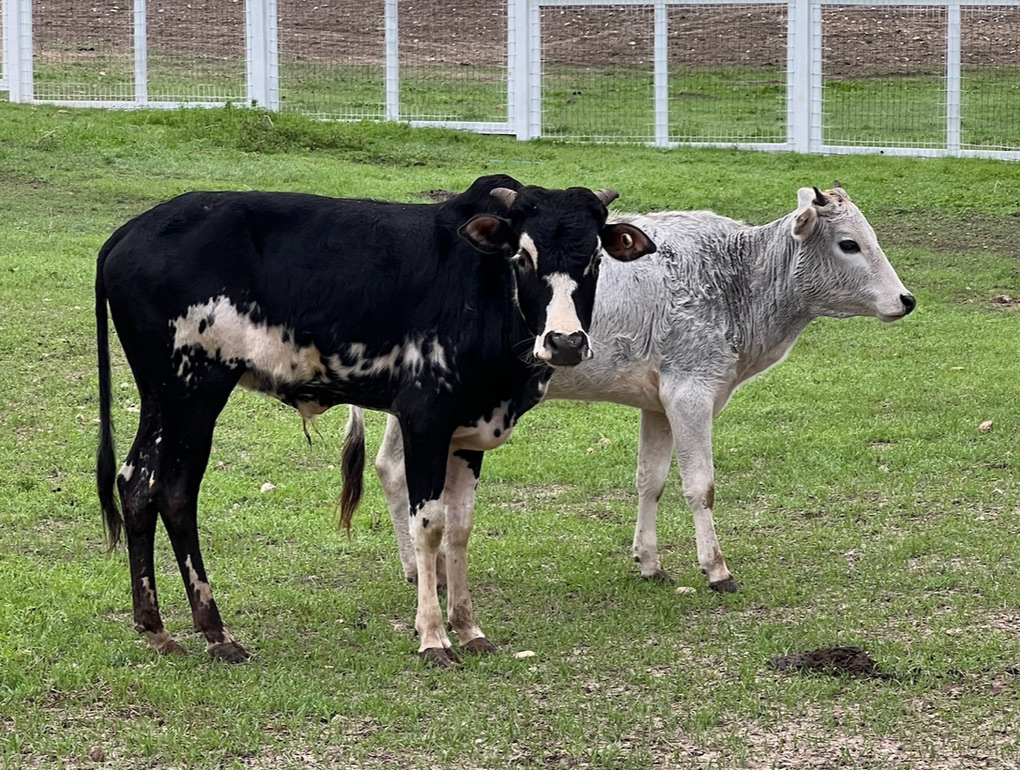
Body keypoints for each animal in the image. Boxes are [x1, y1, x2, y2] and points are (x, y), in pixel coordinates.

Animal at [95, 174, 656, 667]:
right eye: (522, 256)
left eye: (595, 258)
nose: (565, 342)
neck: (483, 288)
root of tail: (131, 231)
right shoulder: (425, 420)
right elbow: (428, 525)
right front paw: (433, 637)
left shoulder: (469, 431)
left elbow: (460, 527)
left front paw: (469, 628)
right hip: (194, 393)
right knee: (174, 492)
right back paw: (215, 633)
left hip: (162, 398)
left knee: (136, 484)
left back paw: (156, 628)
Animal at [372, 184, 914, 593]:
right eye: (849, 244)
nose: (906, 299)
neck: (736, 279)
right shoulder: (691, 395)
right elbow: (700, 485)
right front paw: (716, 568)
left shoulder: (658, 405)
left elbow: (650, 480)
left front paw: (649, 561)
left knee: (389, 467)